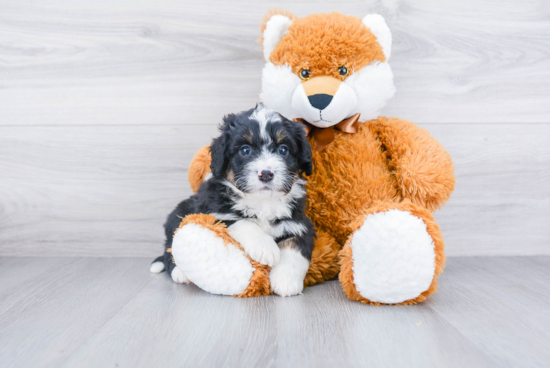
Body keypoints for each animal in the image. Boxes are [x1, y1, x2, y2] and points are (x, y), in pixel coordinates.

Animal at [151, 103, 316, 296]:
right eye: (245, 150)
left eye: (283, 149)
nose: (266, 174)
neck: (263, 202)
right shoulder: (215, 213)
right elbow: (244, 222)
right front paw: (266, 247)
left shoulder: (299, 222)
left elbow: (296, 246)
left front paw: (286, 281)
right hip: (179, 214)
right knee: (170, 246)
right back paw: (179, 272)